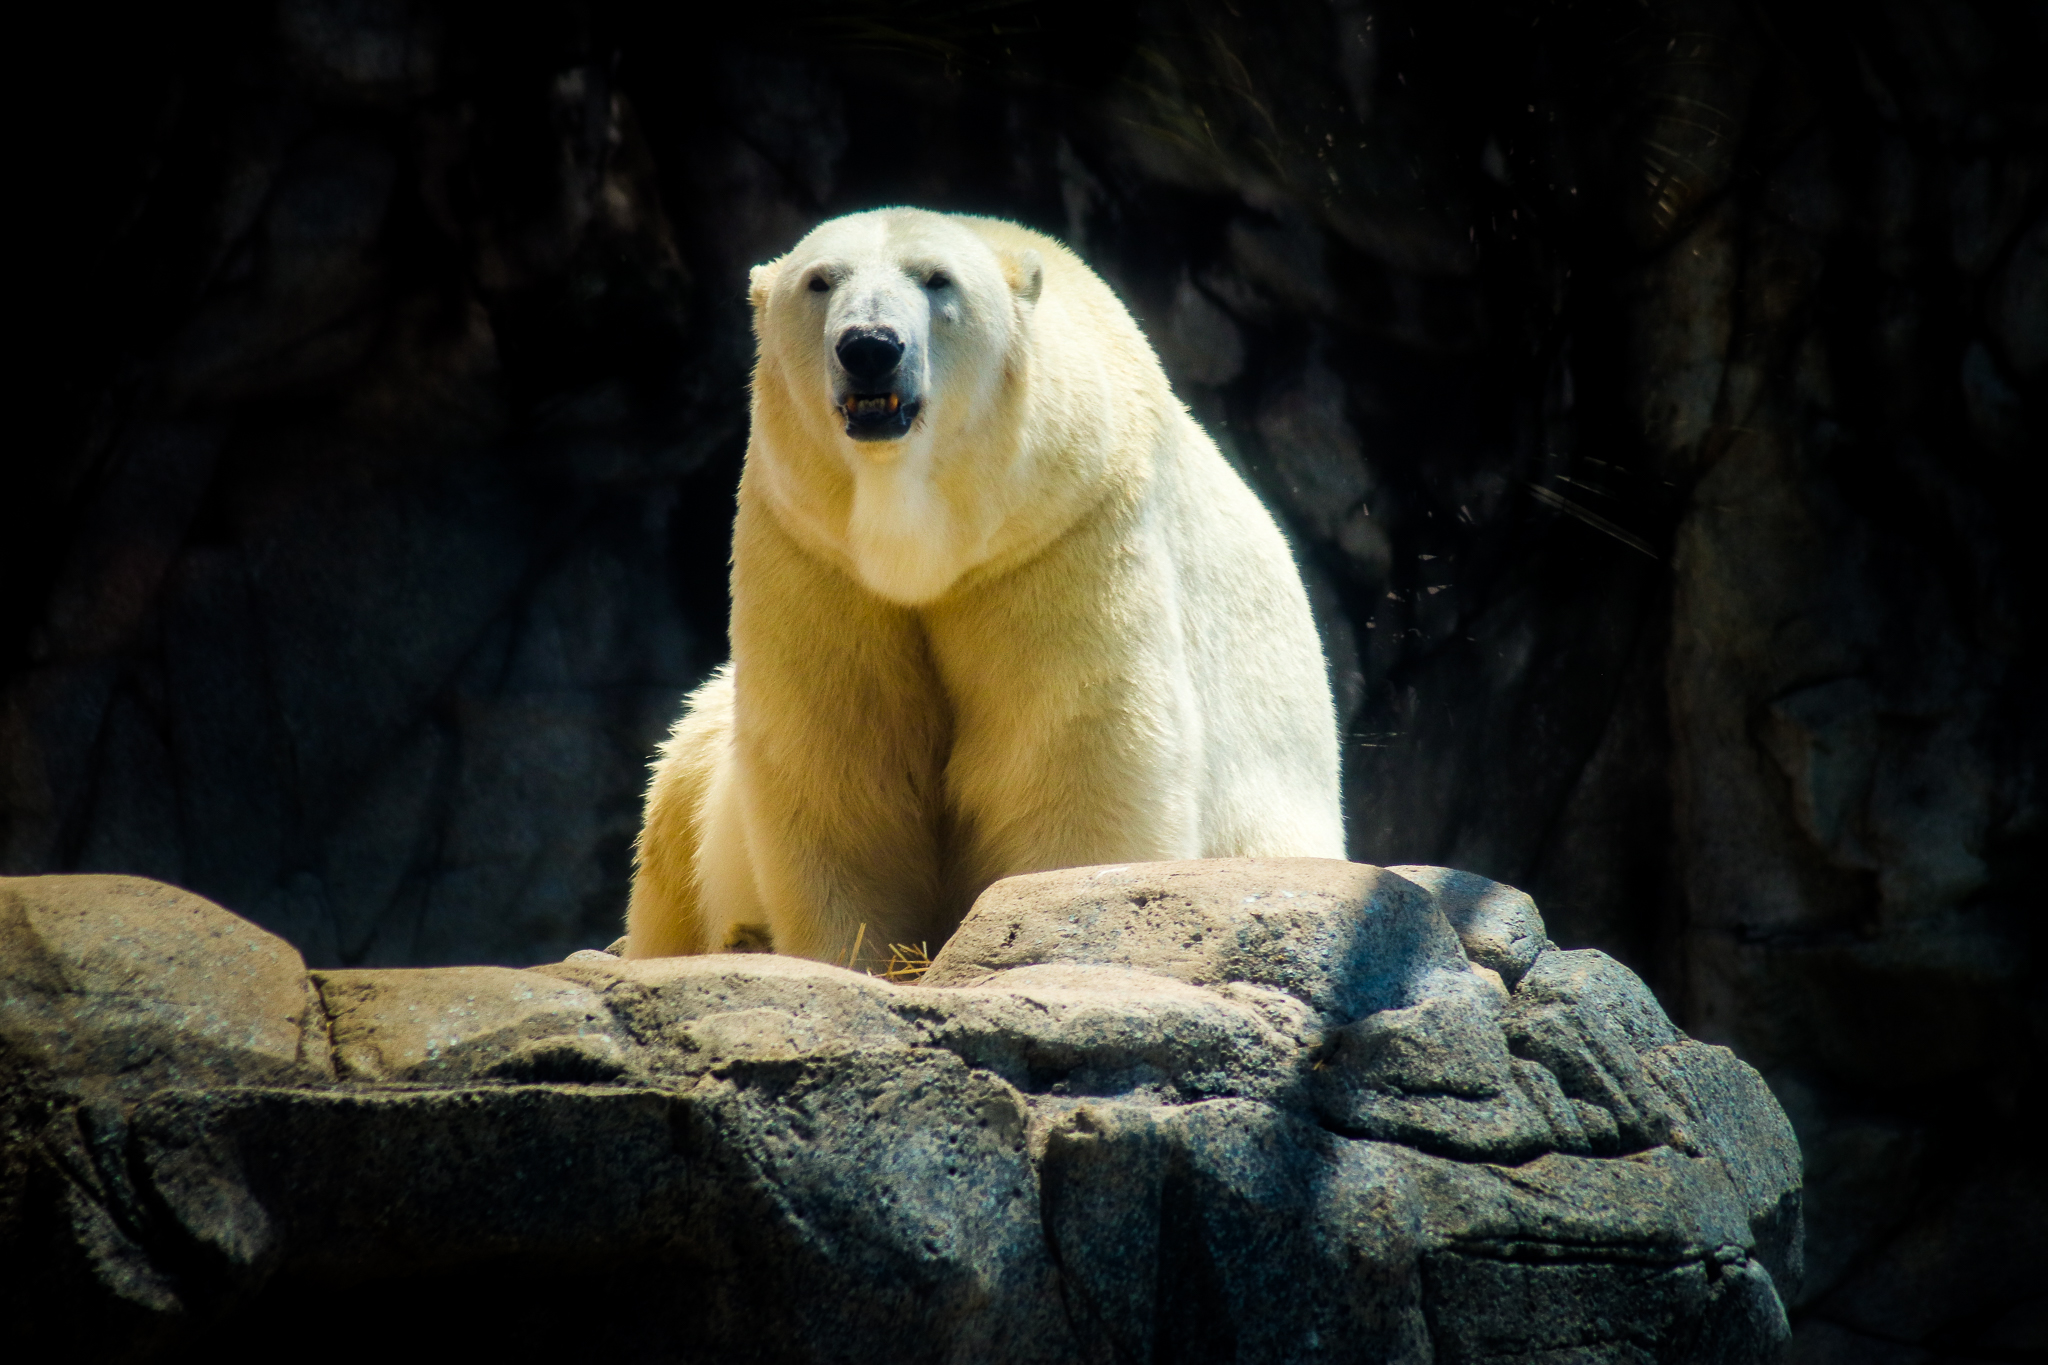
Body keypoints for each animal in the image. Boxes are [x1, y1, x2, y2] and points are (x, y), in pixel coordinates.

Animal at [624, 208, 1343, 964]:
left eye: (937, 278)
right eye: (820, 281)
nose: (870, 346)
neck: (920, 539)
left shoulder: (1061, 531)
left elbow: (1076, 741)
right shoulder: (814, 552)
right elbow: (840, 755)